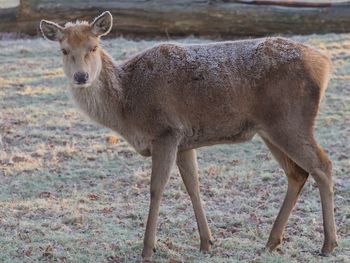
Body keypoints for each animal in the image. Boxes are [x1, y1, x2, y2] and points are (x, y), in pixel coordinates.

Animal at [39, 11, 338, 260]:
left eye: (94, 47)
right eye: (64, 50)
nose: (81, 76)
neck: (127, 107)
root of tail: (325, 64)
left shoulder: (166, 132)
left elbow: (156, 188)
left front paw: (148, 249)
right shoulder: (185, 141)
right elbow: (193, 185)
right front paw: (207, 242)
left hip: (290, 121)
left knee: (323, 165)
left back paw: (328, 244)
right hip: (270, 130)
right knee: (297, 173)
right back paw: (272, 241)